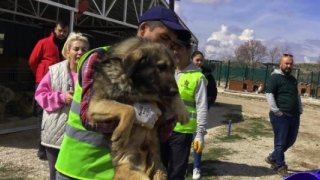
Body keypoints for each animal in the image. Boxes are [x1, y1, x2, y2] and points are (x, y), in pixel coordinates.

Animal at [86, 37, 189, 179]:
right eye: (161, 67)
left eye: (174, 69)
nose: (174, 91)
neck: (137, 84)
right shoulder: (95, 105)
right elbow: (128, 110)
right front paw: (122, 134)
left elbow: (171, 99)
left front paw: (182, 110)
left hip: (160, 172)